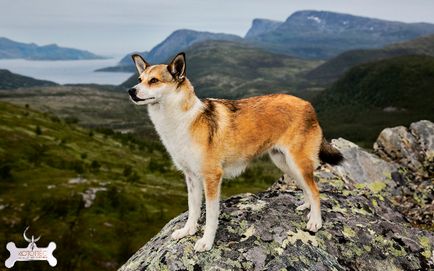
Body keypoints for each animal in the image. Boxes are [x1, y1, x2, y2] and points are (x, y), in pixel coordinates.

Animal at [128, 52, 342, 253]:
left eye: (154, 80)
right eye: (139, 79)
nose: (131, 91)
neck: (181, 119)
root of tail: (308, 105)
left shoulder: (212, 177)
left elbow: (211, 215)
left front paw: (206, 241)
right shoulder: (191, 178)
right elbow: (193, 208)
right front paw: (188, 230)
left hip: (298, 162)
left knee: (315, 191)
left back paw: (315, 221)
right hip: (284, 162)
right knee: (306, 187)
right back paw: (307, 208)